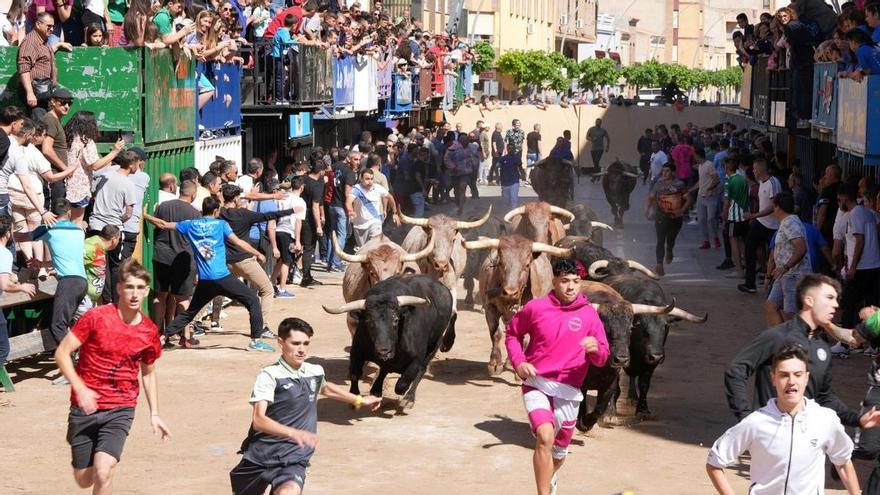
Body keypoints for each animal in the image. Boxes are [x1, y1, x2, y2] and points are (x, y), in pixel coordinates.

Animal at [322, 276, 458, 410]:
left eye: (396, 320)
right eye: (368, 321)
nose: (384, 350)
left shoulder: (417, 359)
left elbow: (404, 382)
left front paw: (404, 395)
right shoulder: (357, 350)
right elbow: (355, 373)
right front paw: (354, 397)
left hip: (435, 343)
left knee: (421, 370)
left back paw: (408, 399)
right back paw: (376, 390)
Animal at [464, 236, 576, 376]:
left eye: (527, 265)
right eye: (501, 263)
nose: (510, 292)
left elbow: (525, 338)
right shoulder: (490, 308)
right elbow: (496, 333)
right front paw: (495, 364)